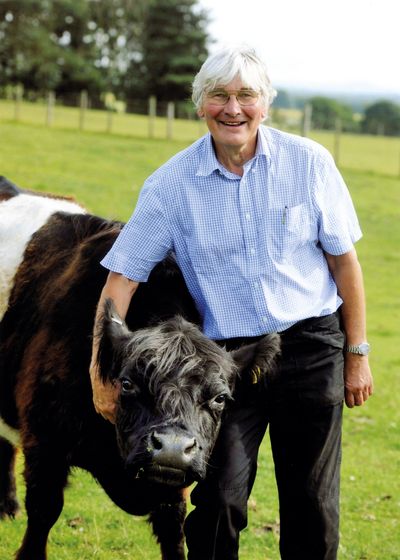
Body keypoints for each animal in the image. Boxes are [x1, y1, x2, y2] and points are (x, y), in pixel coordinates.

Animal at [0, 178, 282, 560]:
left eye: (221, 398)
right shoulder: (45, 442)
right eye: (127, 383)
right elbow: (44, 513)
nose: (174, 448)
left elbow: (174, 529)